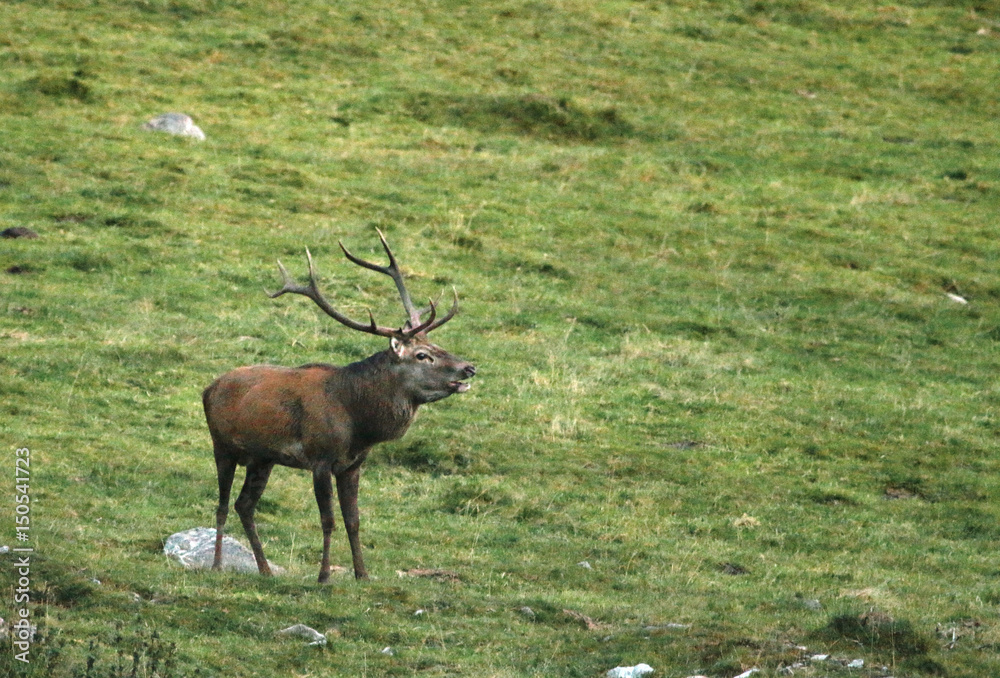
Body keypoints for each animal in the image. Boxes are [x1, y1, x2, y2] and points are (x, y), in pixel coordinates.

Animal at [202, 230, 476, 582]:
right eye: (422, 355)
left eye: (437, 345)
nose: (469, 368)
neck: (359, 425)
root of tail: (209, 388)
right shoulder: (320, 459)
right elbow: (328, 520)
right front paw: (323, 577)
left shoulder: (353, 464)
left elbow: (353, 520)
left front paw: (362, 574)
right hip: (222, 445)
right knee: (223, 505)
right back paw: (217, 564)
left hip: (263, 458)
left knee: (244, 505)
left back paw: (264, 570)